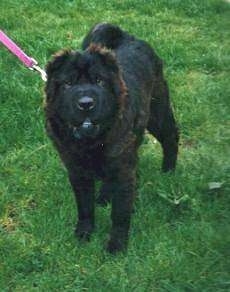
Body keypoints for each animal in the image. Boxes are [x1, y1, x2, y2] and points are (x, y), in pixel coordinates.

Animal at [44, 23, 178, 253]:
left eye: (99, 81)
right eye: (68, 83)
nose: (86, 103)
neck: (91, 144)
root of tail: (128, 36)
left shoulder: (124, 171)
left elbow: (120, 214)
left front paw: (116, 245)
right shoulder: (77, 172)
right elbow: (85, 206)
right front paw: (84, 234)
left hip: (158, 112)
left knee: (171, 136)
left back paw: (169, 171)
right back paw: (104, 196)